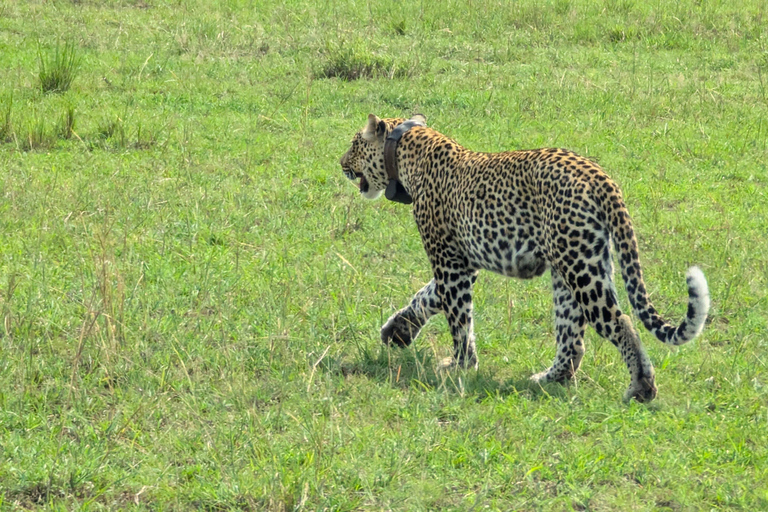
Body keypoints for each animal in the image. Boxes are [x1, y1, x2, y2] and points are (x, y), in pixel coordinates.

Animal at [340, 114, 712, 402]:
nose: (341, 164)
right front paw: (398, 331)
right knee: (573, 338)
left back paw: (641, 387)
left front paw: (461, 364)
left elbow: (457, 316)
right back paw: (548, 379)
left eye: (355, 144)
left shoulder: (449, 261)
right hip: (576, 265)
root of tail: (597, 174)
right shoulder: (464, 262)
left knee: (618, 322)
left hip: (580, 268)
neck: (408, 151)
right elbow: (429, 296)